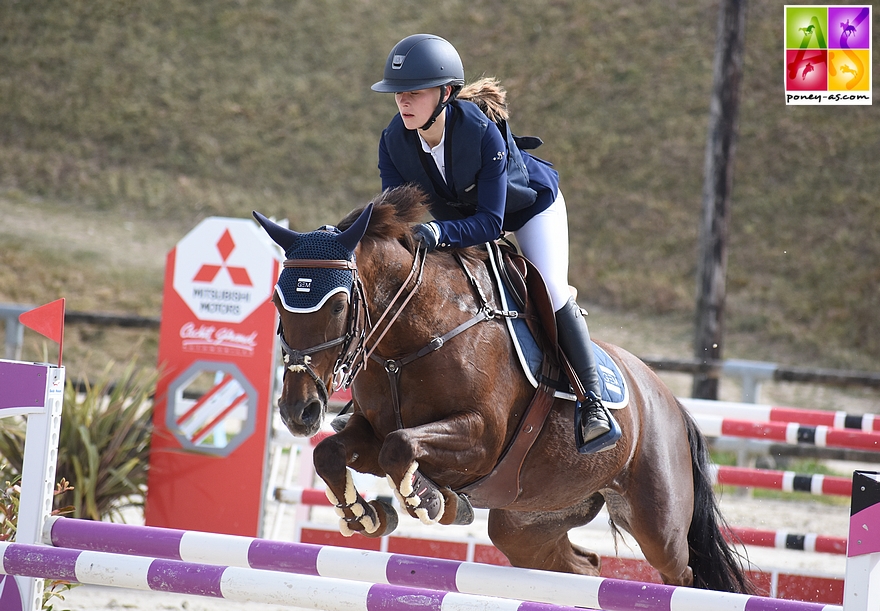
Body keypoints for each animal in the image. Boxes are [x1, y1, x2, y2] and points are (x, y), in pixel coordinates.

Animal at [253, 186, 748, 592]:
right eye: (277, 300)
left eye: (338, 304)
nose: (298, 412)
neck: (408, 340)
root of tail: (670, 402)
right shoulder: (370, 433)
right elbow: (331, 452)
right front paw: (366, 515)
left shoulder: (481, 438)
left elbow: (401, 447)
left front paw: (431, 501)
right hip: (528, 523)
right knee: (581, 566)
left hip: (658, 524)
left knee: (684, 574)